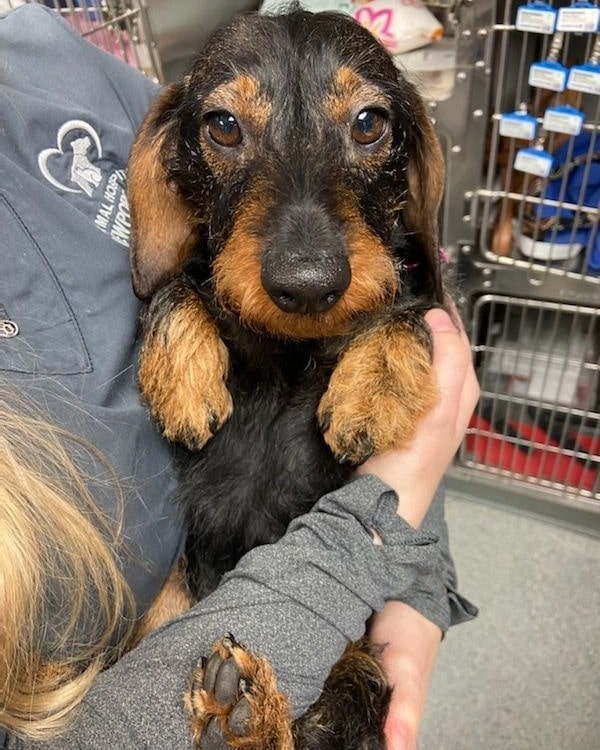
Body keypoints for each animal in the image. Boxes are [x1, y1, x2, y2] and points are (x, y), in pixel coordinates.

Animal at [127, 7, 446, 750]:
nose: (307, 284)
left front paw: (373, 386)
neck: (289, 356)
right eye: (222, 126)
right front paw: (183, 378)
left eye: (369, 123)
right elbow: (180, 282)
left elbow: (410, 306)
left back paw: (245, 713)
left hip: (359, 671)